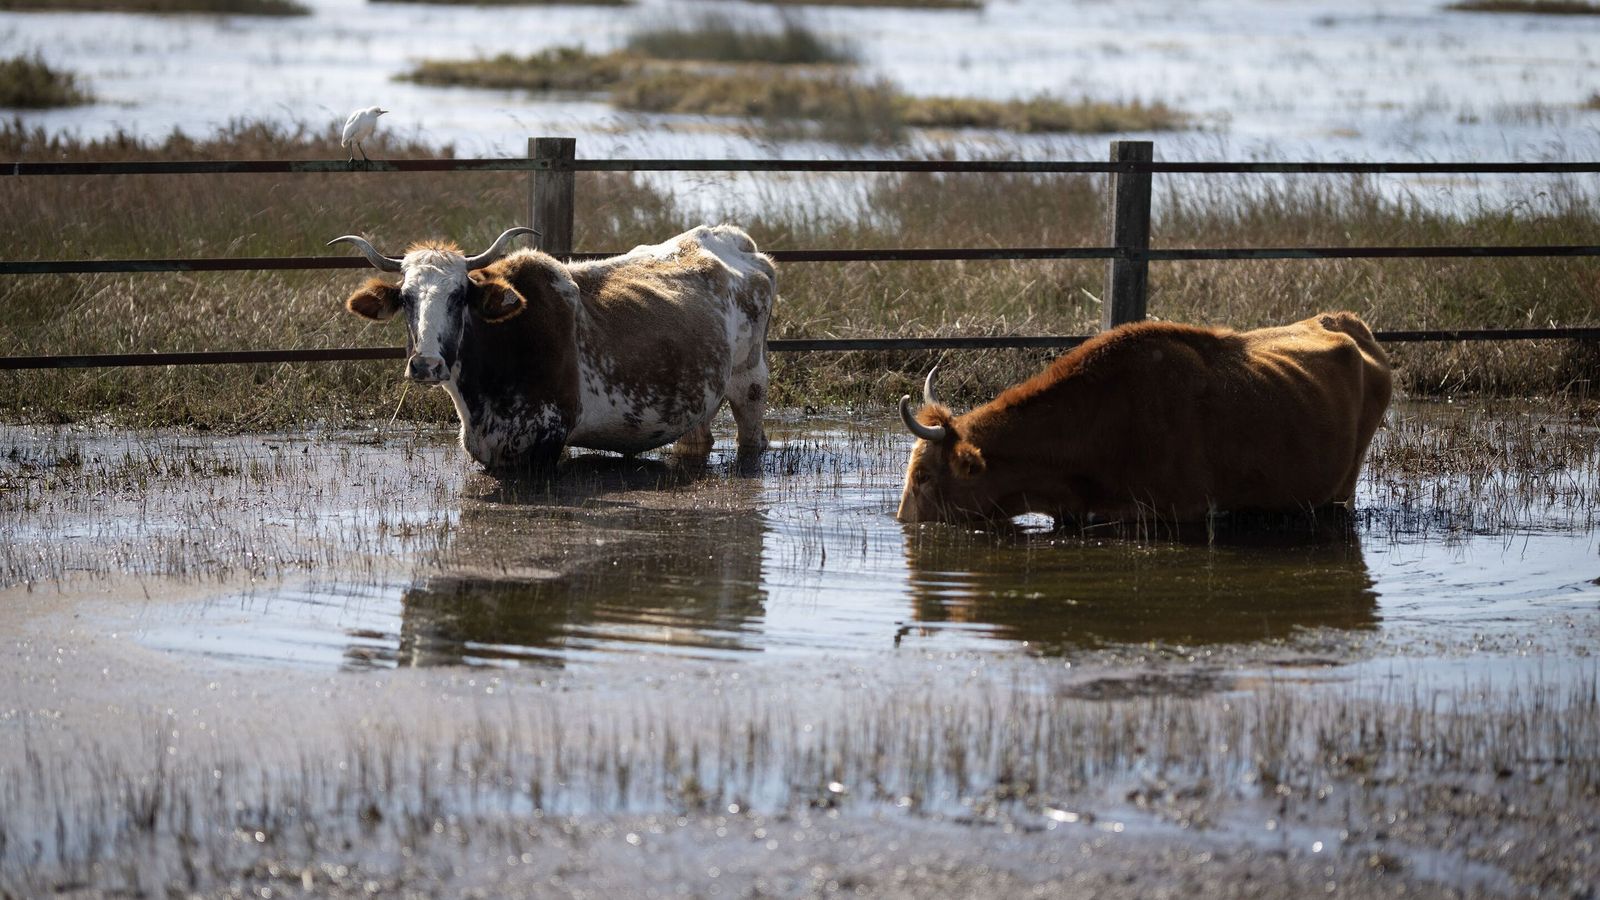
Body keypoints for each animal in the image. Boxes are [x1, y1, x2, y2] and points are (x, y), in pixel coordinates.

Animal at [333, 225, 776, 470]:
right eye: (407, 298)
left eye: (459, 296)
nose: (425, 364)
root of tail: (737, 241)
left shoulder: (546, 441)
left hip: (750, 383)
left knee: (753, 437)